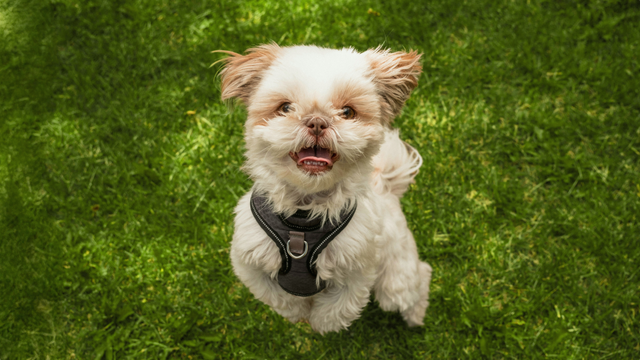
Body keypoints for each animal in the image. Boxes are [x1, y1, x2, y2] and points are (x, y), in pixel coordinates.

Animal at [218, 43, 432, 334]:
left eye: (348, 112)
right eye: (285, 107)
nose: (317, 121)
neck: (302, 215)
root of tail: (385, 188)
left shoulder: (357, 267)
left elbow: (337, 308)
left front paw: (320, 323)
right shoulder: (249, 262)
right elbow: (279, 297)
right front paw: (298, 312)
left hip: (396, 277)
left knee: (418, 278)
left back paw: (415, 316)